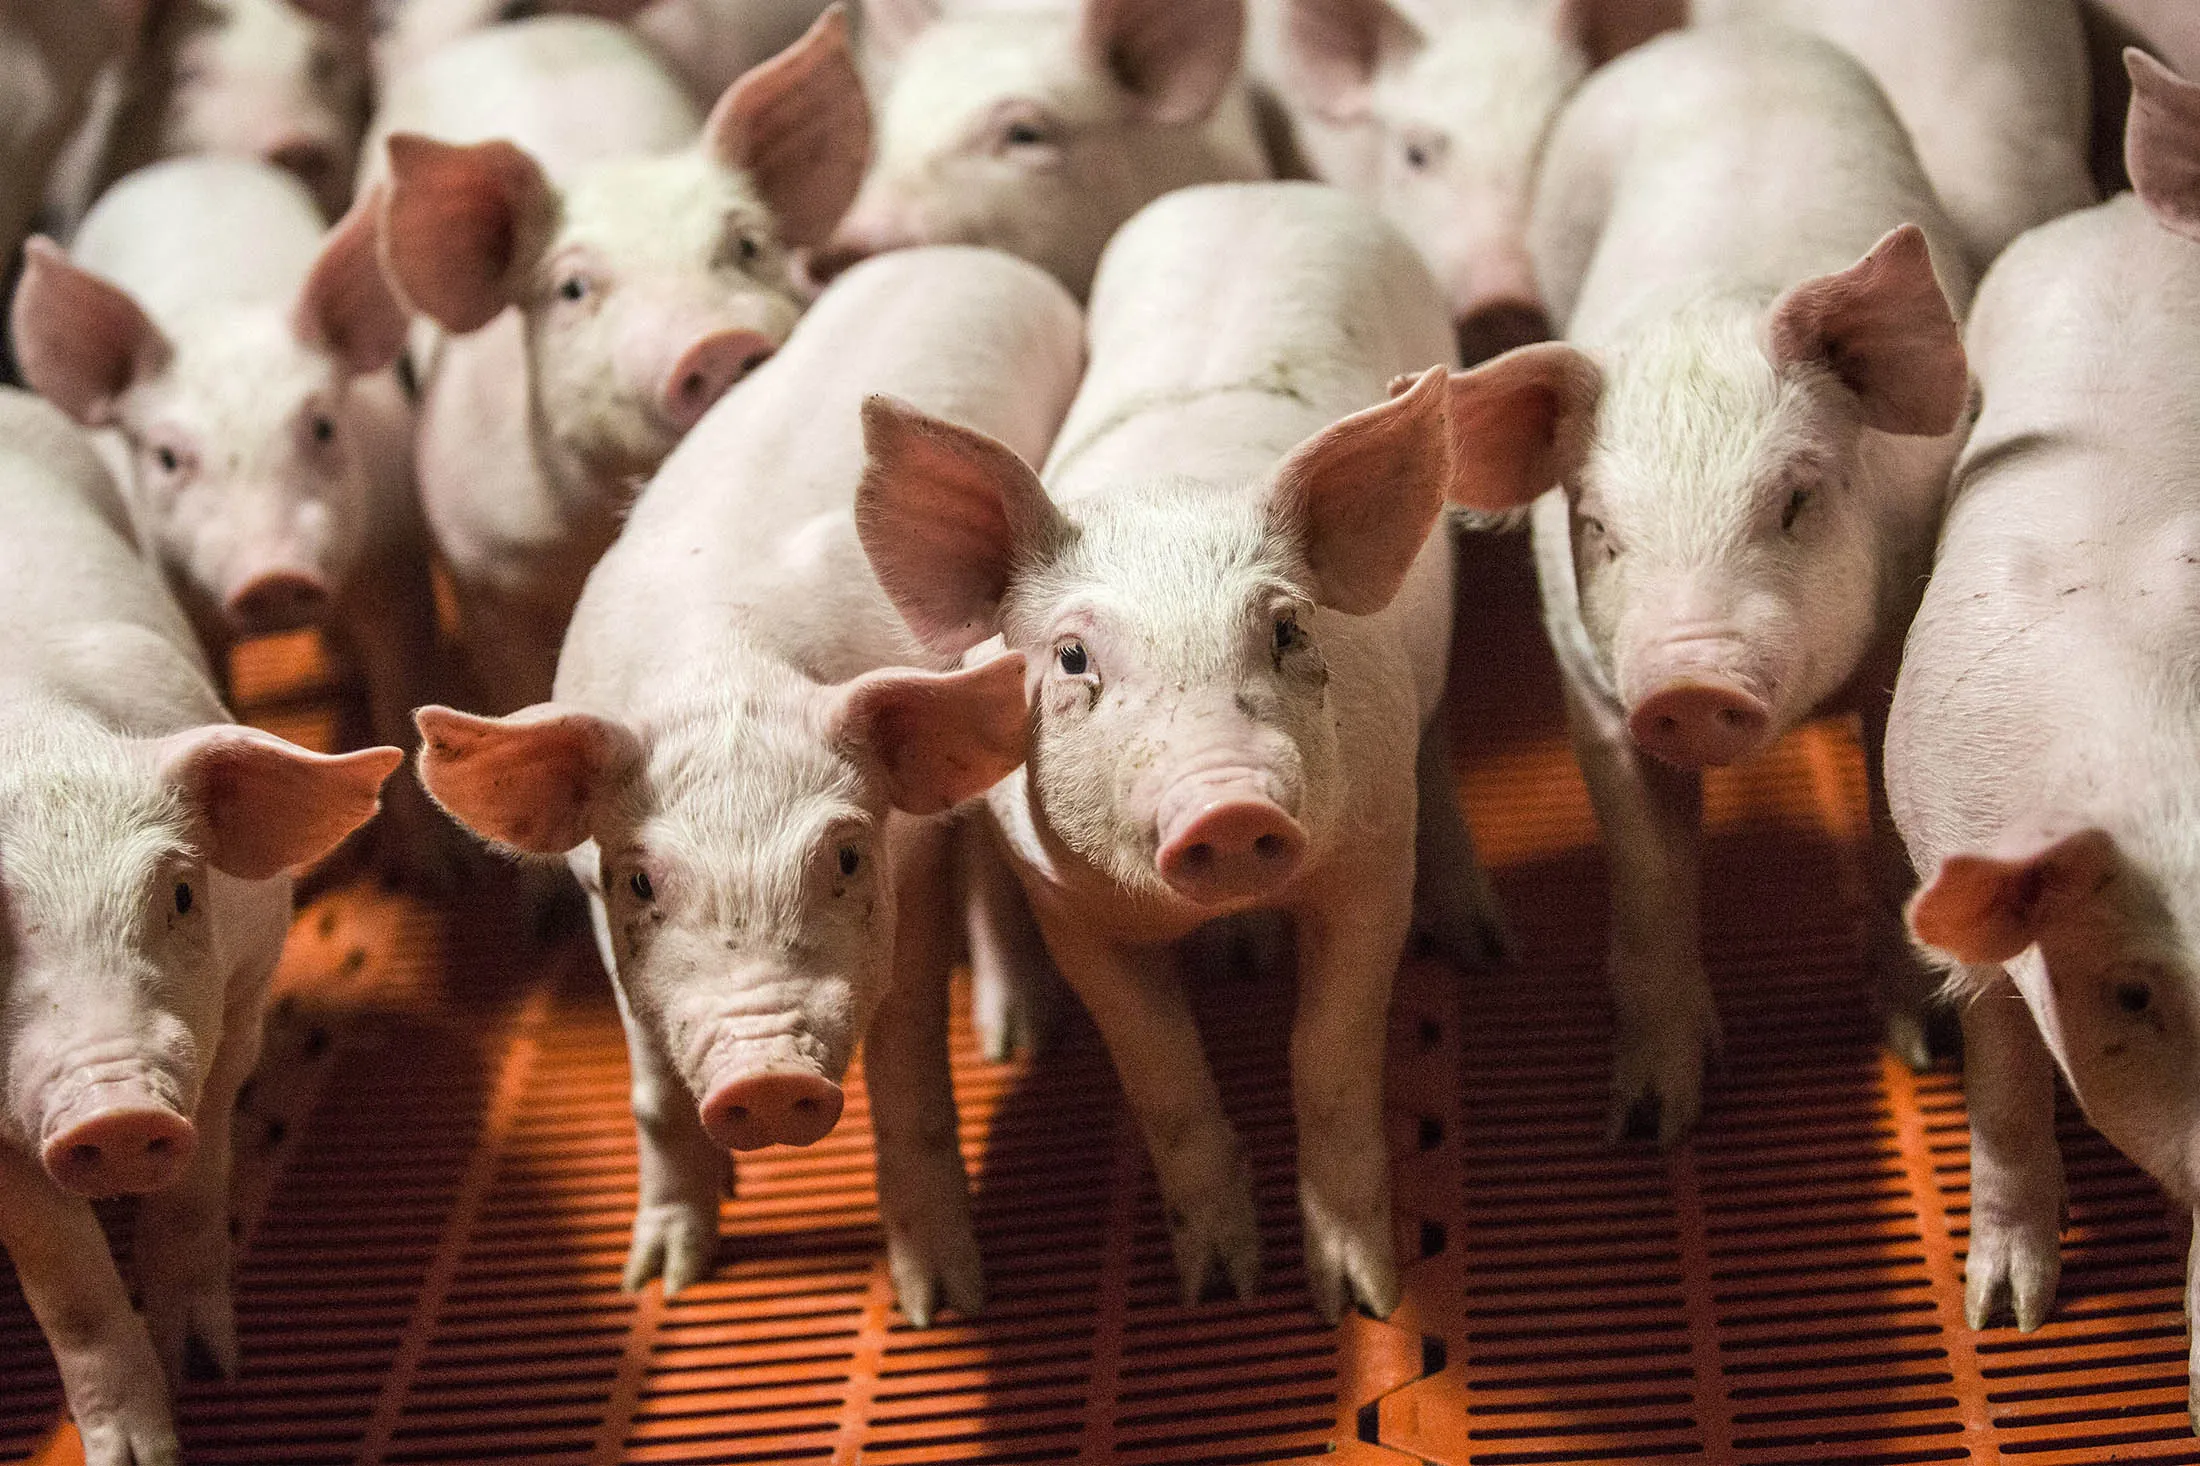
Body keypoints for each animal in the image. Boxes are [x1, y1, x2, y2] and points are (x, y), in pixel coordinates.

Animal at [0, 386, 397, 1466]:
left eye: (179, 893)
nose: (116, 1111)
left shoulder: (248, 985)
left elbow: (199, 1179)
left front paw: (213, 1369)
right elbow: (68, 1284)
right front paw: (134, 1450)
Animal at [9, 155, 457, 887]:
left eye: (323, 426)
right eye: (167, 457)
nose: (273, 575)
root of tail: (191, 162)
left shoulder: (395, 556)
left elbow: (400, 694)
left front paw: (432, 873)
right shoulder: (181, 594)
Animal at [415, 245, 1082, 1320]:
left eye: (844, 856)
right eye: (643, 879)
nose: (763, 1078)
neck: (720, 670)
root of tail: (966, 253)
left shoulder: (910, 856)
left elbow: (909, 1073)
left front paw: (941, 1305)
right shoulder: (593, 896)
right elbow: (650, 1093)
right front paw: (662, 1280)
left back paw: (1010, 1043)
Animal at [858, 181, 1508, 1321]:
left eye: (1286, 630)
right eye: (1072, 656)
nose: (1230, 804)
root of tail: (1263, 188)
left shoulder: (1369, 860)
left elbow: (1329, 1057)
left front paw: (1360, 1301)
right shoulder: (1068, 905)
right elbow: (1159, 1068)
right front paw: (1218, 1290)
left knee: (1437, 749)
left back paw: (1476, 939)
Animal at [1433, 25, 1974, 1144]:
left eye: (1796, 498)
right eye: (1598, 527)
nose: (1689, 684)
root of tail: (1708, 37)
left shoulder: (1899, 637)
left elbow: (1893, 834)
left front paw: (1922, 1051)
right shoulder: (1592, 688)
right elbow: (1648, 875)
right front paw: (1649, 1124)